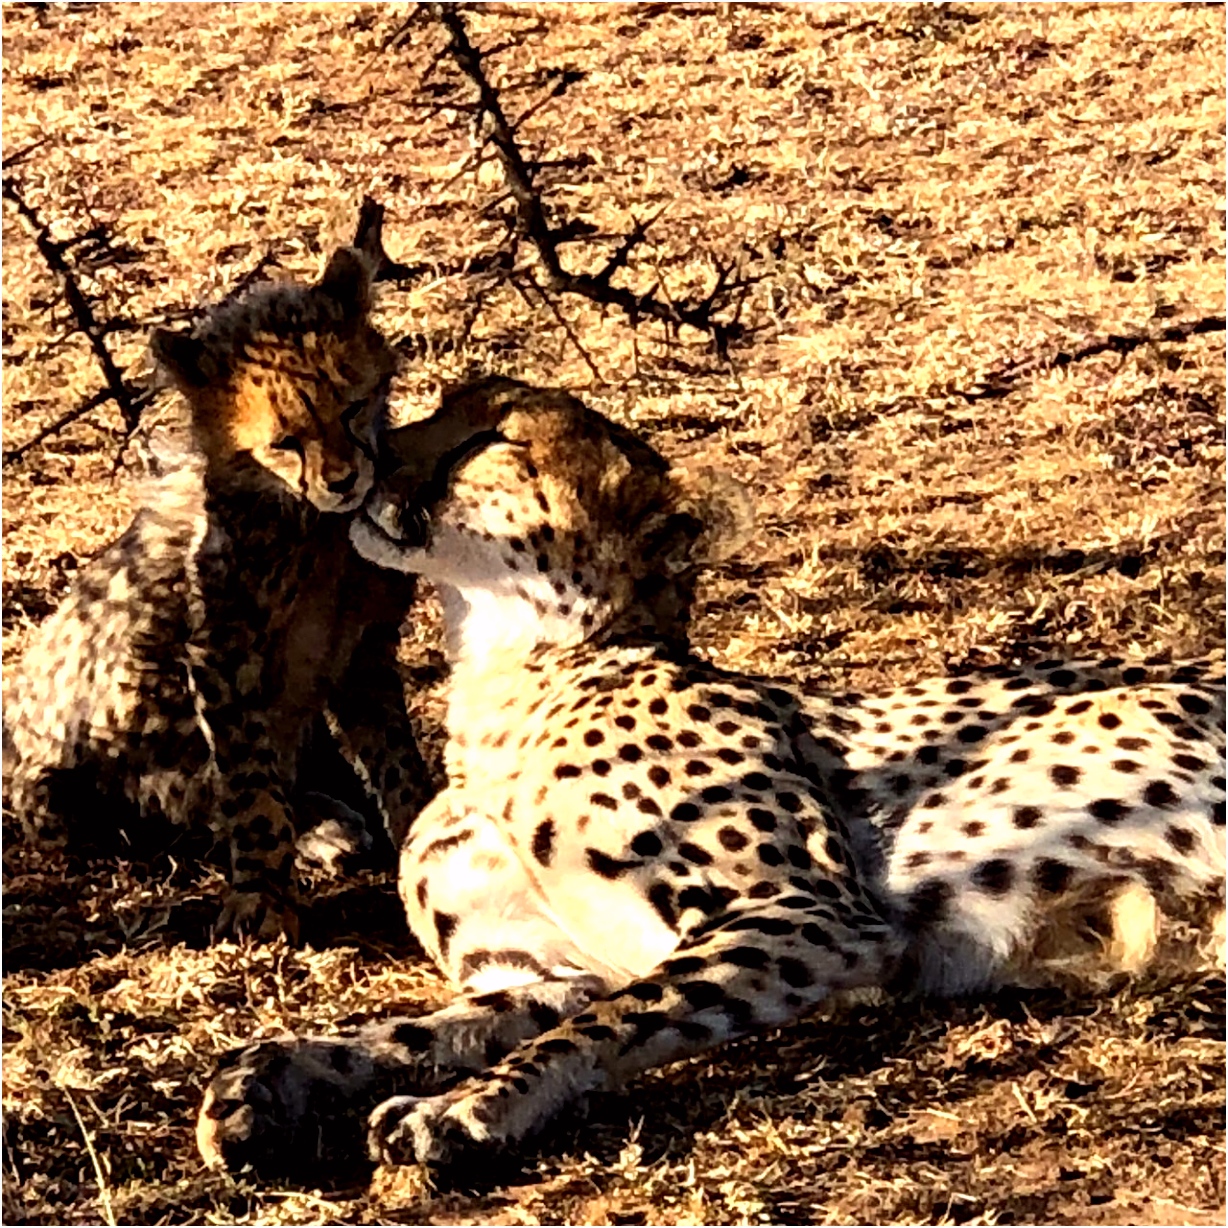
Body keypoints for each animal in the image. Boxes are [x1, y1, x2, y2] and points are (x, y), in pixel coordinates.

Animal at [3, 201, 430, 942]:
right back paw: (318, 830)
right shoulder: (222, 654)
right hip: (69, 788)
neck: (316, 528)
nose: (344, 480)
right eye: (285, 442)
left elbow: (395, 760)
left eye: (351, 407)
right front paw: (262, 898)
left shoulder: (362, 654)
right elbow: (250, 783)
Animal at [195, 376, 1225, 1182]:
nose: (362, 465)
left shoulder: (811, 913)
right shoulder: (553, 967)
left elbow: (607, 1022)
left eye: (492, 436)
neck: (506, 684)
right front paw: (273, 1074)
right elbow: (423, 1029)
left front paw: (462, 1109)